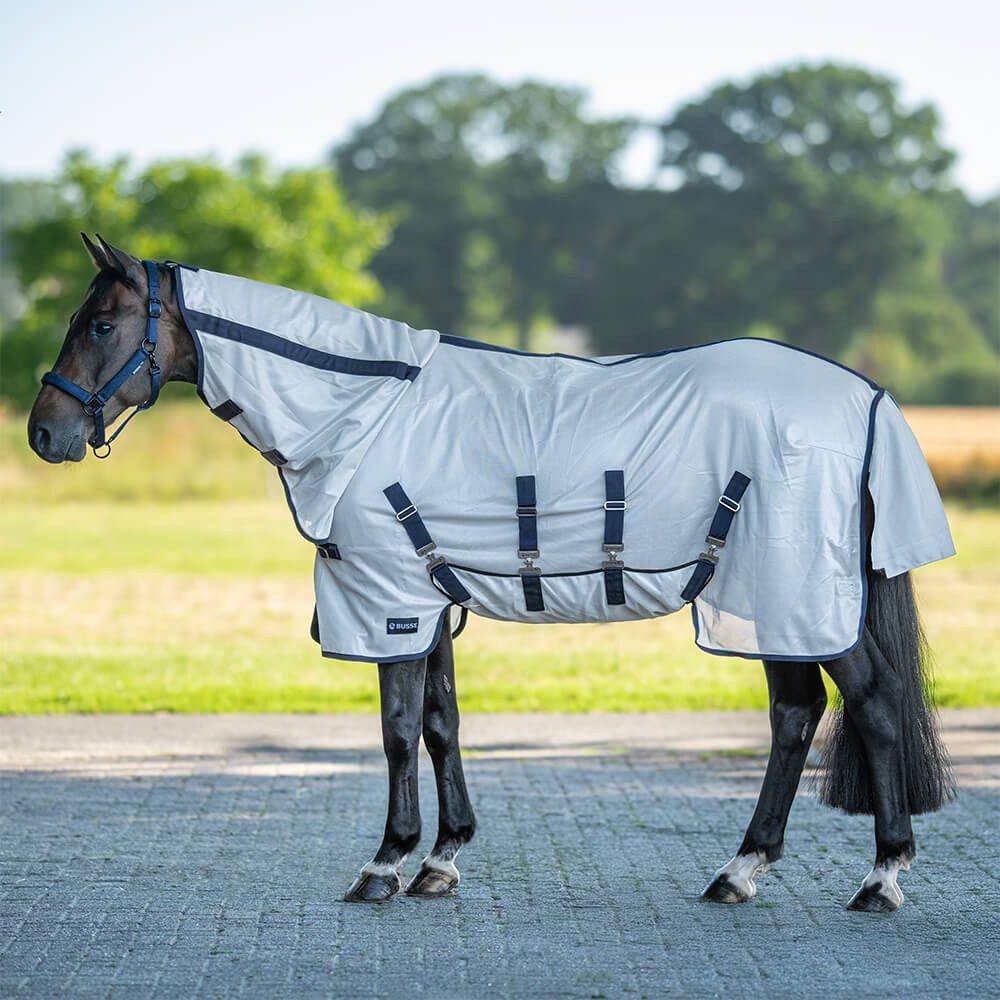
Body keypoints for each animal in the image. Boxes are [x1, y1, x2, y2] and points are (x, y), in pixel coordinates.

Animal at [27, 235, 955, 912]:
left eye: (100, 325)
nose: (45, 432)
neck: (362, 410)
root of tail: (865, 396)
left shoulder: (387, 602)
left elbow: (398, 728)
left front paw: (385, 864)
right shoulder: (427, 600)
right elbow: (441, 723)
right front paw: (441, 860)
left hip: (793, 595)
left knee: (871, 704)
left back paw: (881, 878)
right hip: (763, 601)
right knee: (796, 716)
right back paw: (741, 871)